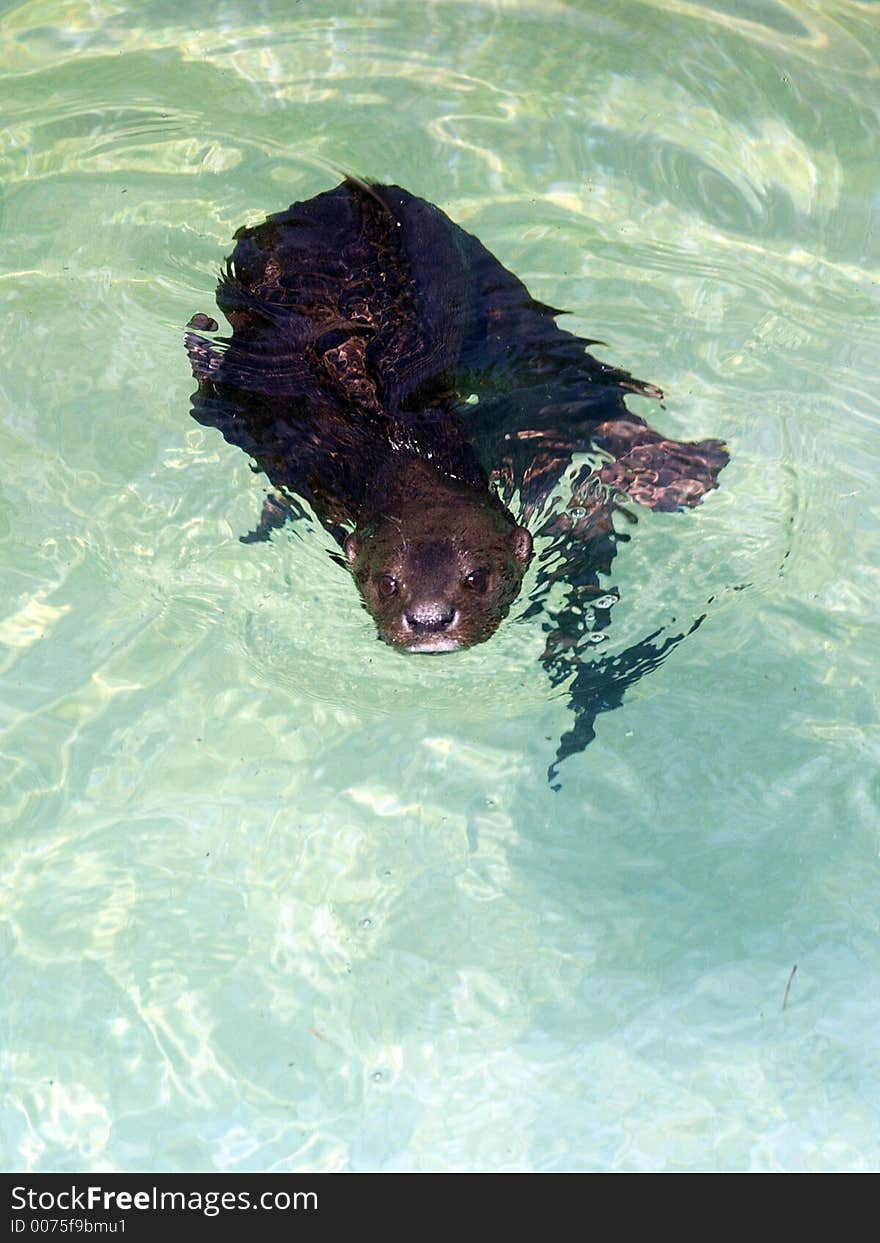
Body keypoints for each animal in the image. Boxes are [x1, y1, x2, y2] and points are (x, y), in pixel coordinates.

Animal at [185, 178, 730, 775]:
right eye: (386, 581)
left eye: (477, 578)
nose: (428, 620)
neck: (405, 455)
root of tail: (343, 194)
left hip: (487, 286)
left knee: (565, 368)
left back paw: (675, 469)